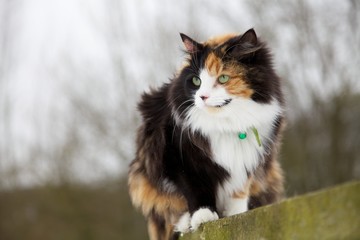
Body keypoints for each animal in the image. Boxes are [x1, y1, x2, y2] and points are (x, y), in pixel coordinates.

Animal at [129, 28, 284, 240]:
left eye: (223, 78)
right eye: (196, 81)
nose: (202, 96)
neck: (228, 125)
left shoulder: (249, 159)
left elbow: (239, 189)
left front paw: (235, 214)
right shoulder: (177, 156)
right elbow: (193, 186)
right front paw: (203, 215)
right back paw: (185, 222)